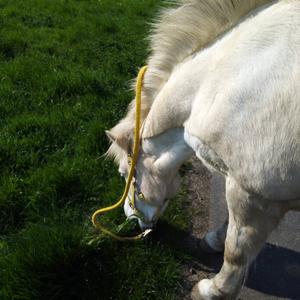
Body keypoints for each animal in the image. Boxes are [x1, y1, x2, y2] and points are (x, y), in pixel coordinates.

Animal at [106, 1, 300, 298]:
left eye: (123, 173)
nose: (131, 220)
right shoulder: (240, 182)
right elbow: (230, 226)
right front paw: (212, 241)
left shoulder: (253, 193)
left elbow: (236, 253)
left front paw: (213, 290)